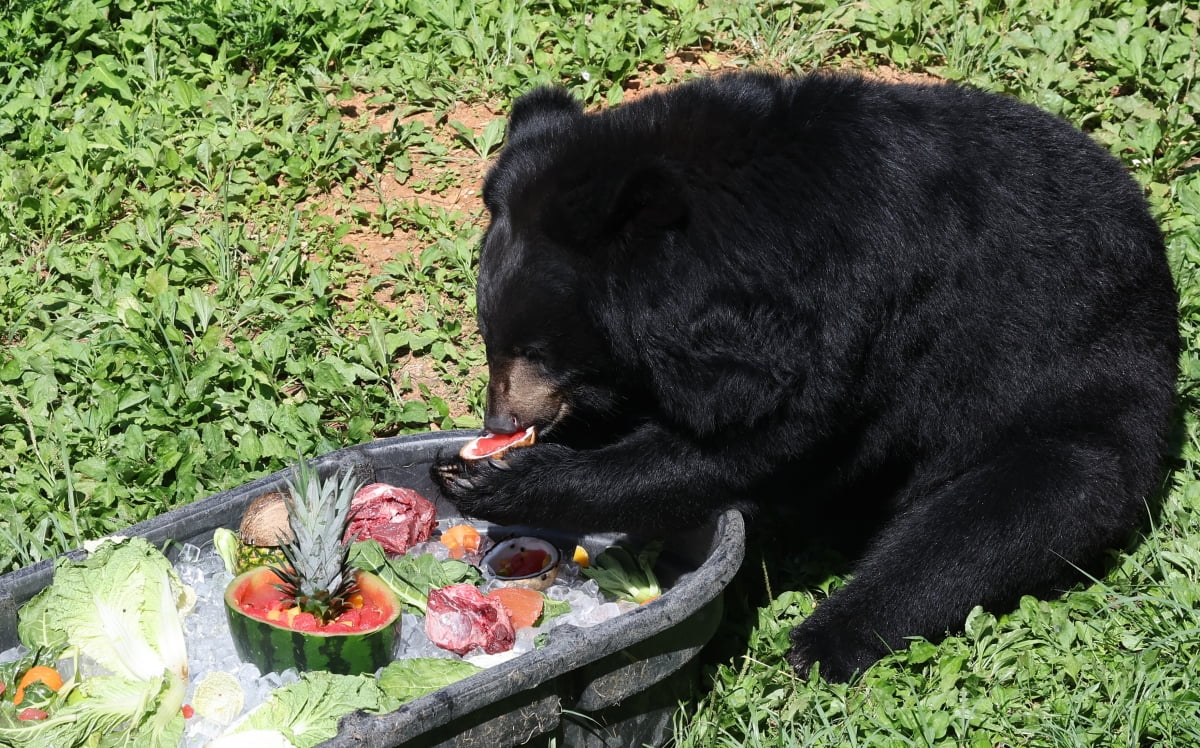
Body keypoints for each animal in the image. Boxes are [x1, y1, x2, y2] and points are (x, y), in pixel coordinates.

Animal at [434, 71, 1180, 686]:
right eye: (491, 339)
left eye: (536, 348)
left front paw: (496, 477)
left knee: (989, 523)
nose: (500, 421)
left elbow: (756, 442)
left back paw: (824, 641)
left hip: (1069, 406)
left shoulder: (851, 313)